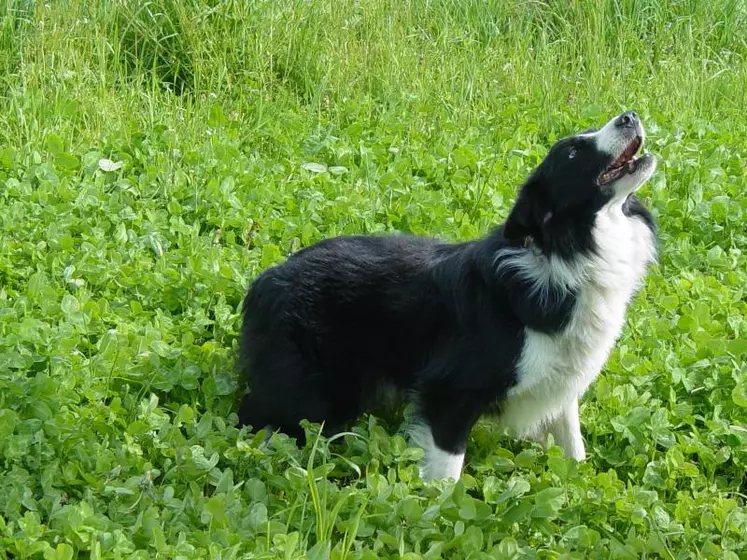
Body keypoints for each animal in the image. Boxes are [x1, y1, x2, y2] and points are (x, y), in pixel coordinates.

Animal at [237, 110, 656, 482]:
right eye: (572, 152)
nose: (630, 116)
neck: (570, 253)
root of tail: (267, 277)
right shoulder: (449, 388)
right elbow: (448, 468)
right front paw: (436, 512)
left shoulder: (562, 377)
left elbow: (572, 441)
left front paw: (581, 486)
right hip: (311, 393)